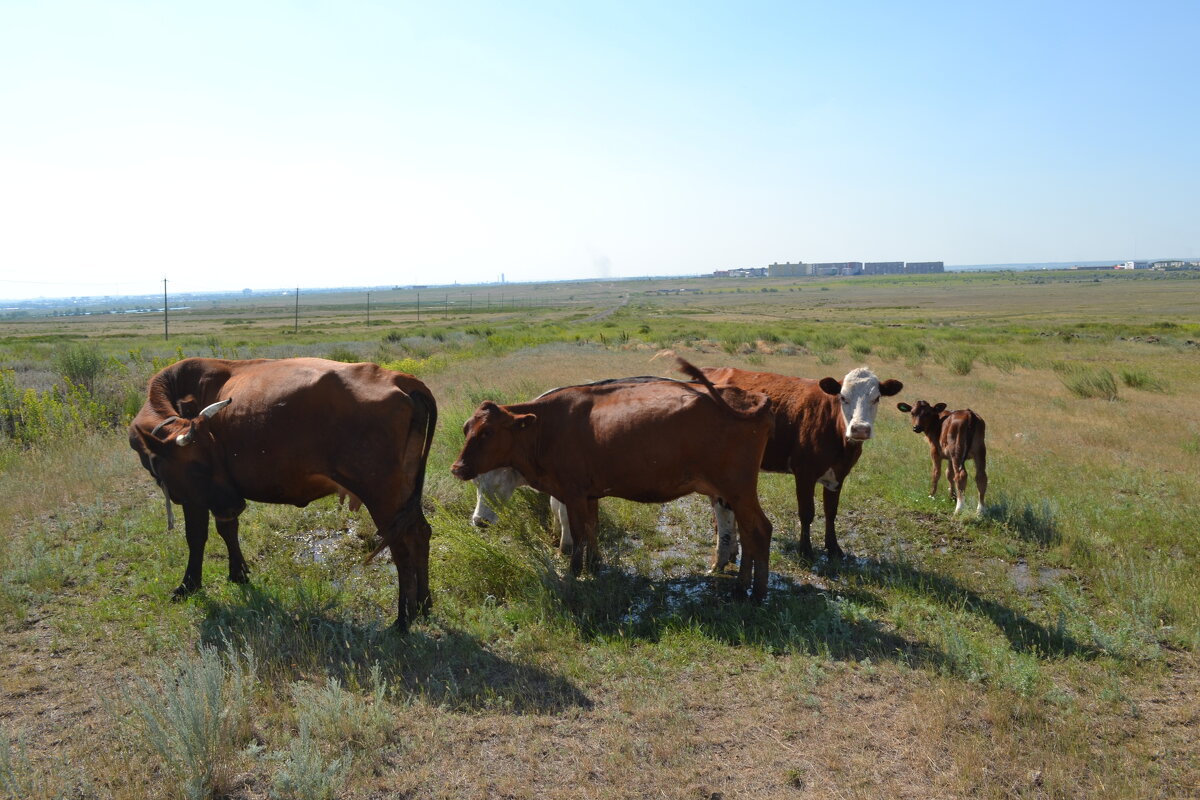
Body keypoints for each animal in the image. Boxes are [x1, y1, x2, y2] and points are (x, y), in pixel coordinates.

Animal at [129, 357, 439, 633]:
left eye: (207, 460)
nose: (236, 503)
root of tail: (400, 378)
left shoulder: (195, 498)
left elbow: (196, 537)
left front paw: (187, 586)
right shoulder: (218, 499)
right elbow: (227, 530)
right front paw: (238, 573)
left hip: (381, 495)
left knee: (400, 548)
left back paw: (403, 620)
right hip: (404, 490)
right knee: (419, 533)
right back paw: (424, 606)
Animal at [451, 362, 777, 599]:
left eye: (487, 432)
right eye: (467, 428)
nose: (457, 468)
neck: (547, 426)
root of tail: (751, 397)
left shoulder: (572, 494)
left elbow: (578, 534)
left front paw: (574, 573)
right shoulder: (589, 494)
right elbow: (592, 530)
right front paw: (595, 567)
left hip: (738, 489)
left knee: (759, 529)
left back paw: (756, 593)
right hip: (733, 492)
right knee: (747, 532)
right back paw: (741, 585)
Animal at [700, 367, 902, 566]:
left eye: (876, 398)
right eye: (843, 397)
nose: (860, 429)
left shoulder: (838, 475)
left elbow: (831, 512)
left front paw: (834, 548)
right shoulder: (805, 473)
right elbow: (807, 513)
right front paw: (805, 550)